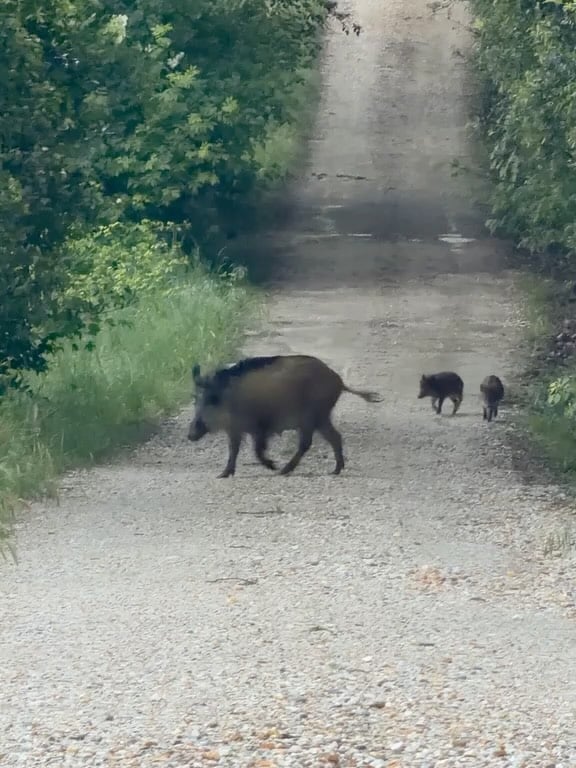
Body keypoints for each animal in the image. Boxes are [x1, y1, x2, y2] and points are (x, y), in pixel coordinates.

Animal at [187, 354, 382, 478]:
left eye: (211, 399)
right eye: (196, 399)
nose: (190, 435)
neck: (229, 397)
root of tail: (339, 381)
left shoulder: (259, 427)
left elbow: (257, 450)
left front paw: (273, 466)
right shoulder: (235, 430)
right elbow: (233, 451)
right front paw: (222, 475)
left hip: (312, 416)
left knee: (307, 443)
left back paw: (283, 471)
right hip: (321, 417)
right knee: (335, 437)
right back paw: (335, 470)